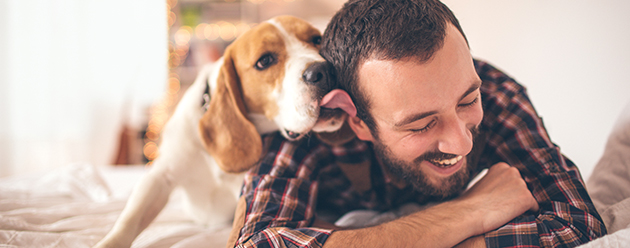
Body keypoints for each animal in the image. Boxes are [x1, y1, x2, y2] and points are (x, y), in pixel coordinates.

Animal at [97, 16, 356, 248]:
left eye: (317, 39)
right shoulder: (160, 177)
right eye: (265, 61)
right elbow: (130, 219)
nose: (326, 70)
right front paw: (109, 242)